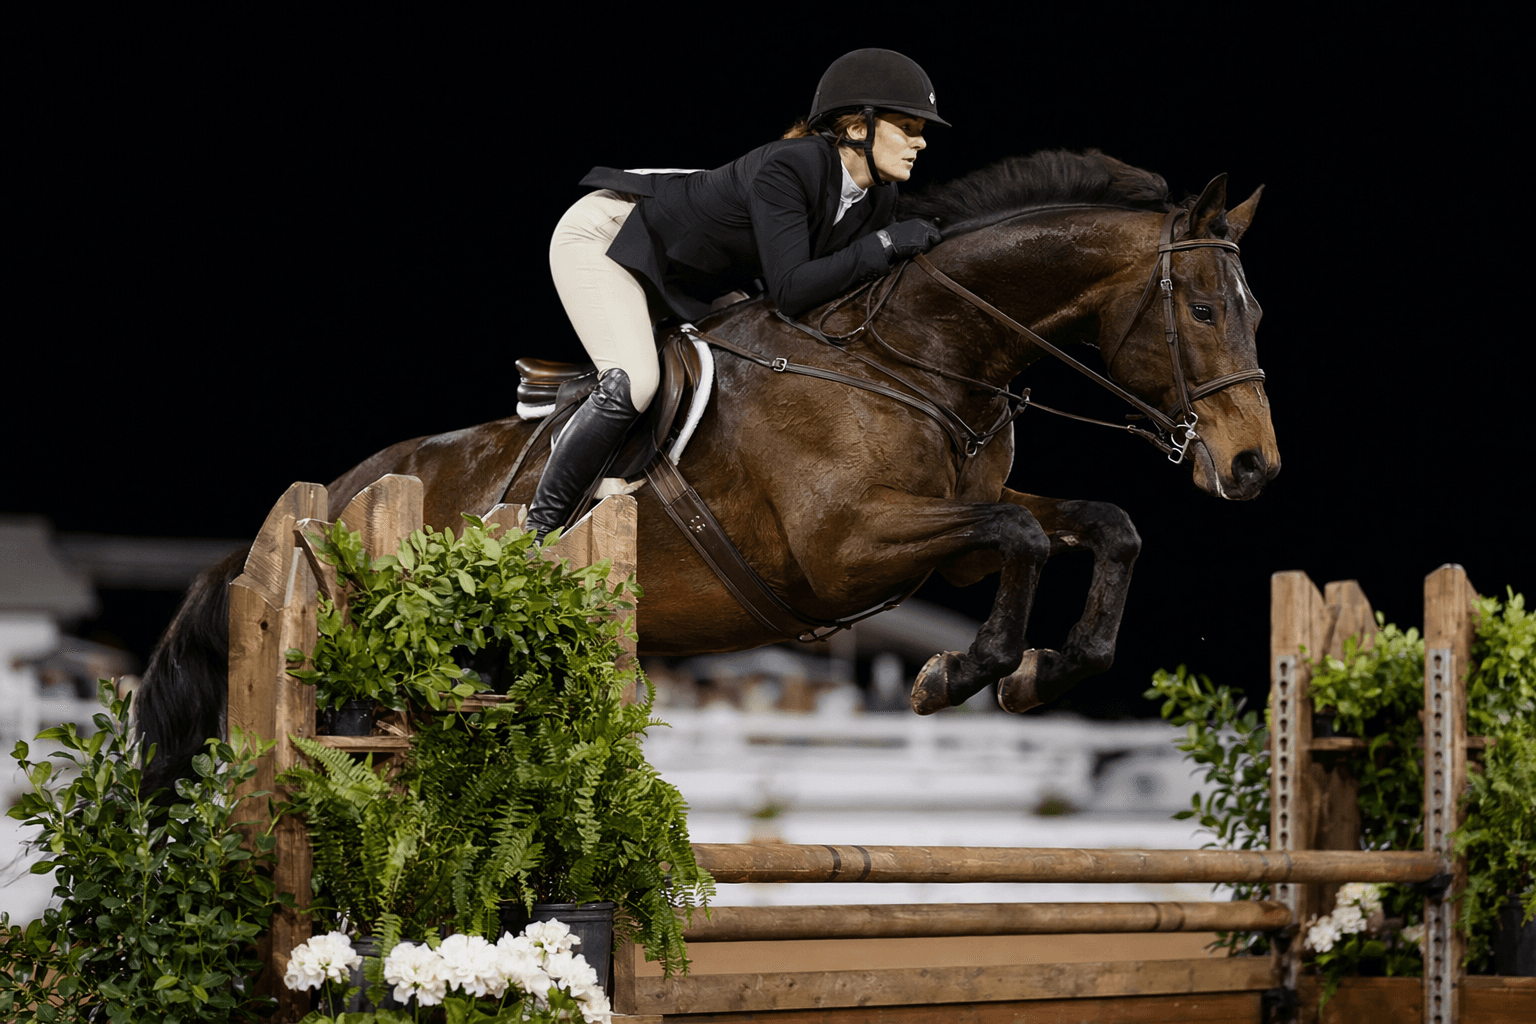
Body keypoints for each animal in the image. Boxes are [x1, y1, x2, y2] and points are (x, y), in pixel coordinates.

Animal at [134, 149, 1277, 795]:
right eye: (1203, 309)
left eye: (1254, 309)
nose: (1252, 467)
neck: (920, 352)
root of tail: (316, 504)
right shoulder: (849, 546)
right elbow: (1027, 535)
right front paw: (959, 674)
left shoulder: (948, 532)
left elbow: (1101, 525)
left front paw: (1046, 671)